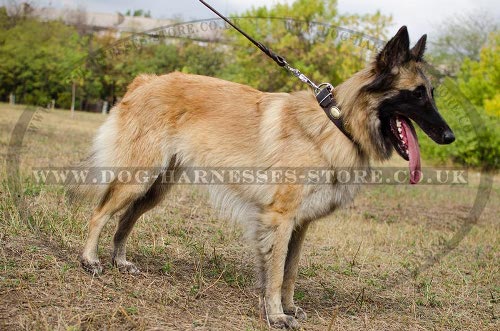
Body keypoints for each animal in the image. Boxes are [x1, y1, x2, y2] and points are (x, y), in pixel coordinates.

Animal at [74, 26, 454, 330]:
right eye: (417, 93)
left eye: (431, 93)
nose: (450, 136)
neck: (337, 123)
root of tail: (146, 80)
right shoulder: (280, 219)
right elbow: (274, 274)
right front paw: (275, 315)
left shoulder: (300, 225)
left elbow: (290, 272)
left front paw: (288, 307)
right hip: (138, 178)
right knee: (100, 213)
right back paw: (90, 260)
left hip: (155, 188)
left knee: (125, 218)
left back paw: (120, 261)